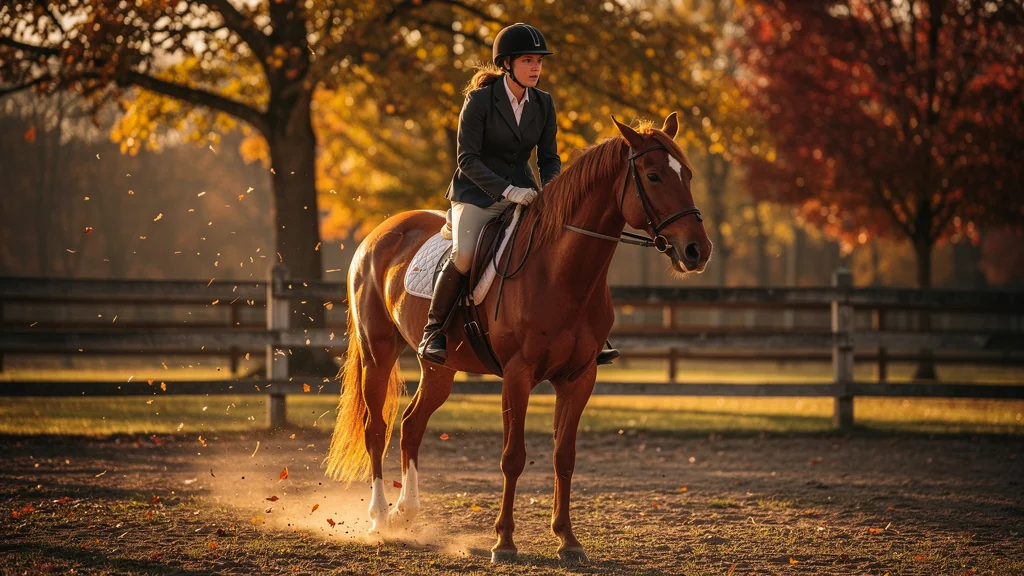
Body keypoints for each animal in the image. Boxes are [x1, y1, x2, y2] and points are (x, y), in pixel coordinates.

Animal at [325, 112, 713, 564]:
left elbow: (565, 457)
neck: (560, 273)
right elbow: (513, 457)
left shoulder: (580, 377)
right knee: (377, 427)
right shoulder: (517, 375)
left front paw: (568, 541)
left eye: (687, 174)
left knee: (411, 425)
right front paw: (505, 542)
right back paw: (381, 517)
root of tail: (379, 234)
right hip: (378, 353)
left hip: (440, 367)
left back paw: (408, 512)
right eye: (652, 175)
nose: (697, 251)